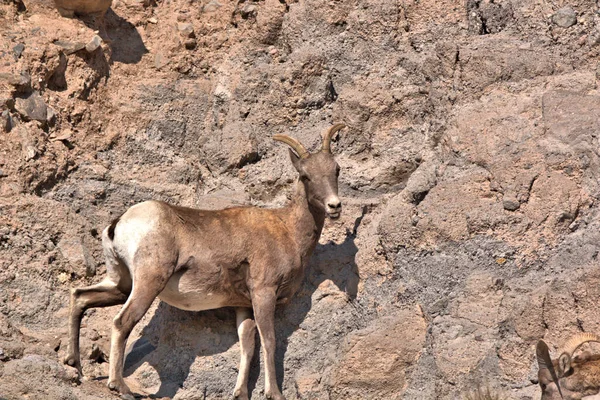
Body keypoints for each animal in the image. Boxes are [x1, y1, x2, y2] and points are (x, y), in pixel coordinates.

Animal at [62, 123, 344, 398]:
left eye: (336, 170)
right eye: (306, 176)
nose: (335, 206)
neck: (288, 231)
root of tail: (118, 224)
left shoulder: (243, 305)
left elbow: (247, 345)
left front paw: (240, 393)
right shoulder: (264, 293)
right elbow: (269, 341)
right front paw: (274, 393)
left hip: (121, 284)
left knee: (80, 297)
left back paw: (75, 364)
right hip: (148, 283)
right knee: (122, 322)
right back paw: (119, 387)